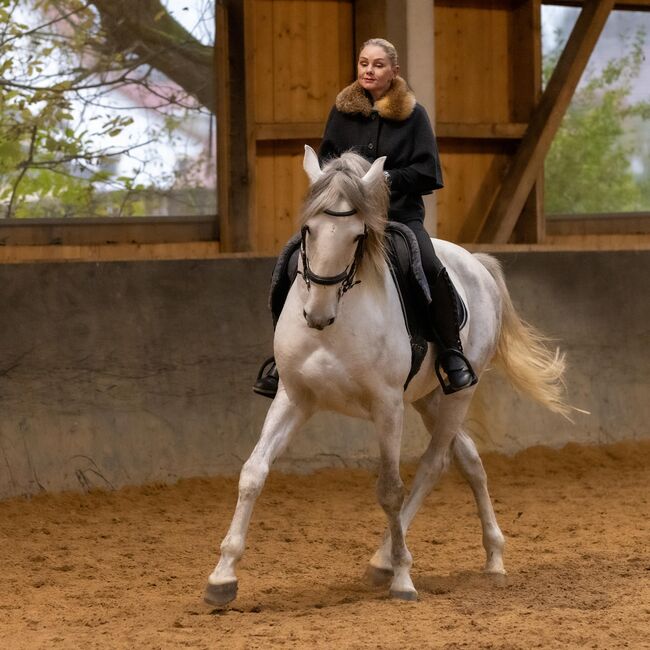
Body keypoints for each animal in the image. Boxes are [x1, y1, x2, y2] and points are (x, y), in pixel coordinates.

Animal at [204, 146, 568, 604]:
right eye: (308, 229)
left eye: (358, 236)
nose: (317, 314)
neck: (338, 319)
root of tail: (475, 262)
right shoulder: (294, 396)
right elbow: (253, 472)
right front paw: (222, 576)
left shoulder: (387, 405)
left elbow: (391, 488)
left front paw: (403, 579)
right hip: (429, 398)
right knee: (468, 458)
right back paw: (493, 557)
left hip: (456, 395)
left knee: (433, 463)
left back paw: (388, 562)